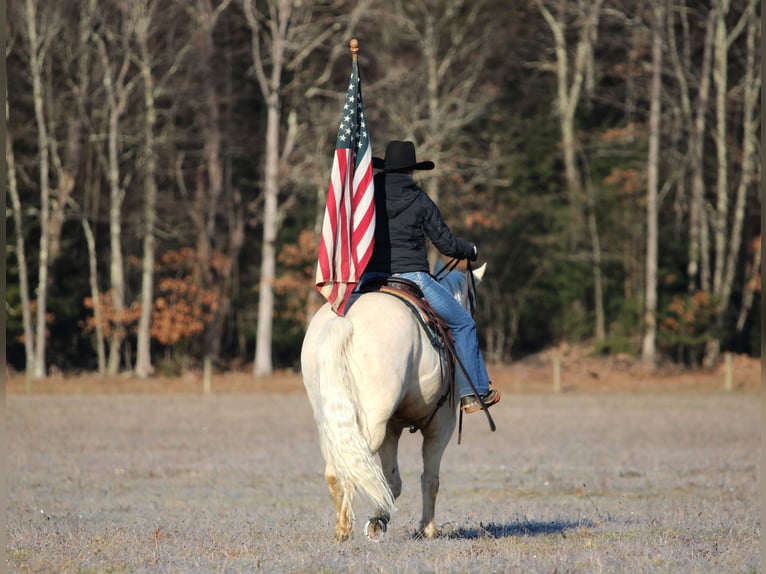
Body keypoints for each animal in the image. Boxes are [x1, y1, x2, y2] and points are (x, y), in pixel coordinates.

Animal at [300, 263, 487, 542]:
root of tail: (343, 320)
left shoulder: (392, 428)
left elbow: (392, 481)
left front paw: (380, 520)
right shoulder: (441, 426)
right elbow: (430, 479)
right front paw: (426, 529)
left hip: (330, 419)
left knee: (336, 469)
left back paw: (342, 525)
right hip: (373, 422)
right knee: (355, 465)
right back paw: (344, 527)